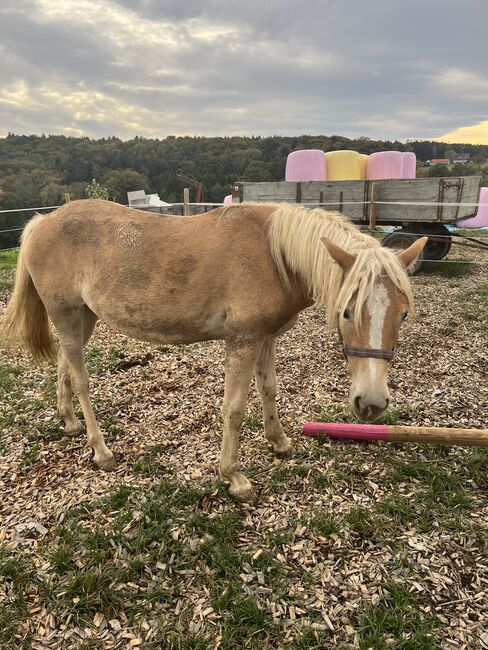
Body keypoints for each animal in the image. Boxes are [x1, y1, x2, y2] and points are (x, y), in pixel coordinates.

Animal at [1, 200, 426, 498]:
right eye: (346, 311)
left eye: (403, 315)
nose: (371, 403)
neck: (273, 255)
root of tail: (42, 222)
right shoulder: (243, 341)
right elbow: (234, 409)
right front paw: (234, 476)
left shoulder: (266, 339)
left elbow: (269, 390)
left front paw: (279, 442)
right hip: (68, 316)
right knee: (82, 380)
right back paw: (100, 449)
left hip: (83, 318)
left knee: (64, 366)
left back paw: (69, 421)